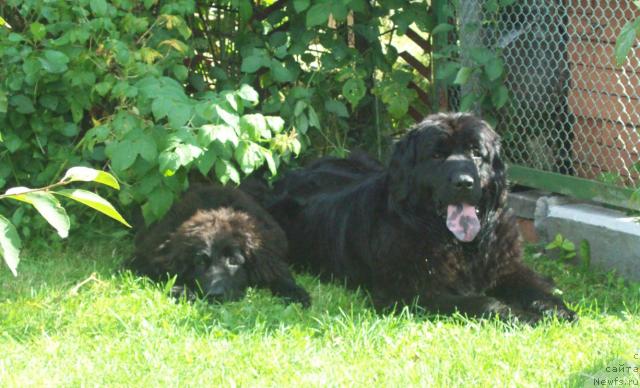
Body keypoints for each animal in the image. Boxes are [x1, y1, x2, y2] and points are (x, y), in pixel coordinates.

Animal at [130, 183, 310, 308]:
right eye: (200, 262)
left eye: (233, 261)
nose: (215, 295)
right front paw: (183, 292)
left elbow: (280, 276)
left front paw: (296, 294)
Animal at [268, 111, 576, 322]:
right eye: (437, 156)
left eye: (477, 153)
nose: (464, 182)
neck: (459, 246)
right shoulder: (414, 291)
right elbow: (482, 302)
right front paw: (522, 316)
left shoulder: (503, 267)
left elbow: (531, 287)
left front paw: (556, 309)